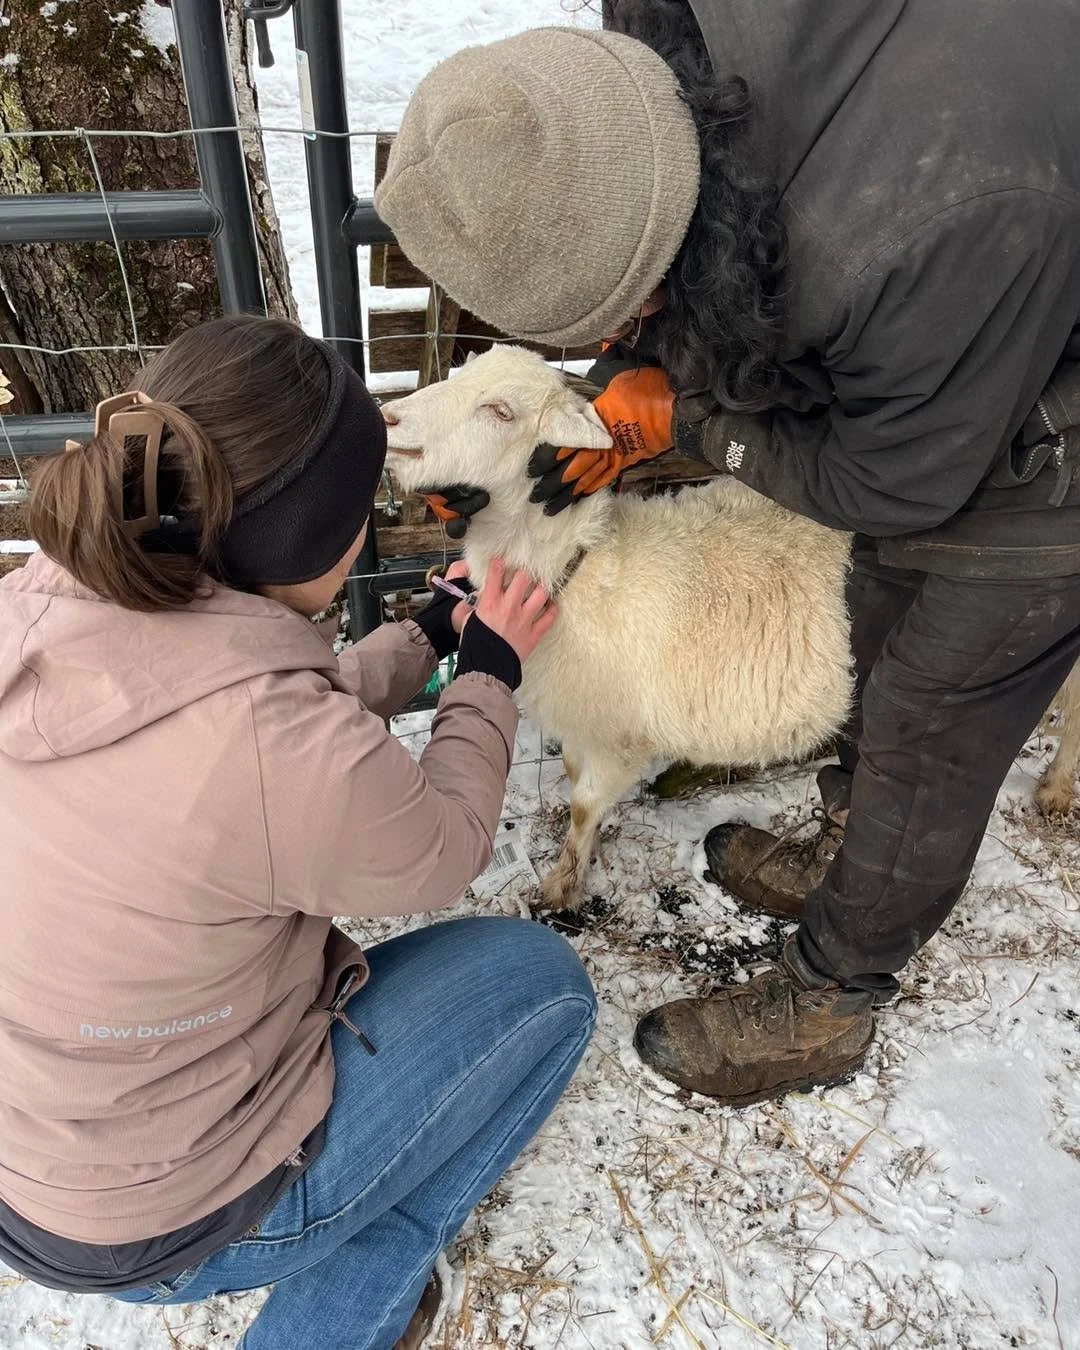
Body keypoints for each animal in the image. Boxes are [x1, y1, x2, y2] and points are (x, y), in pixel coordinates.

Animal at [383, 346, 853, 911]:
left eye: (500, 411)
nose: (387, 417)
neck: (576, 568)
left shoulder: (621, 735)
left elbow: (584, 803)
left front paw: (563, 884)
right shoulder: (584, 716)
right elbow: (571, 775)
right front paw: (586, 855)